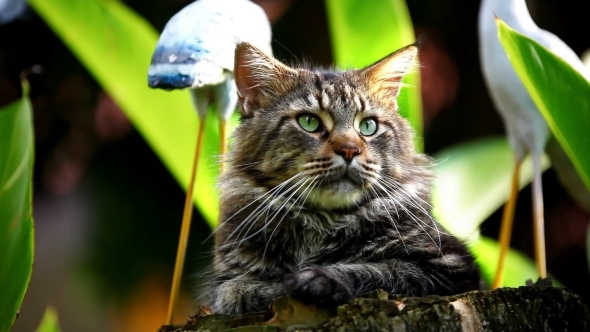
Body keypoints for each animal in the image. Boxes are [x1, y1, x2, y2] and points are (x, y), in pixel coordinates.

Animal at [207, 42, 480, 316]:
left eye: (368, 126)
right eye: (309, 122)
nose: (349, 150)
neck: (321, 223)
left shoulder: (451, 264)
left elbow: (381, 270)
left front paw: (316, 279)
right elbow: (230, 290)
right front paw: (257, 290)